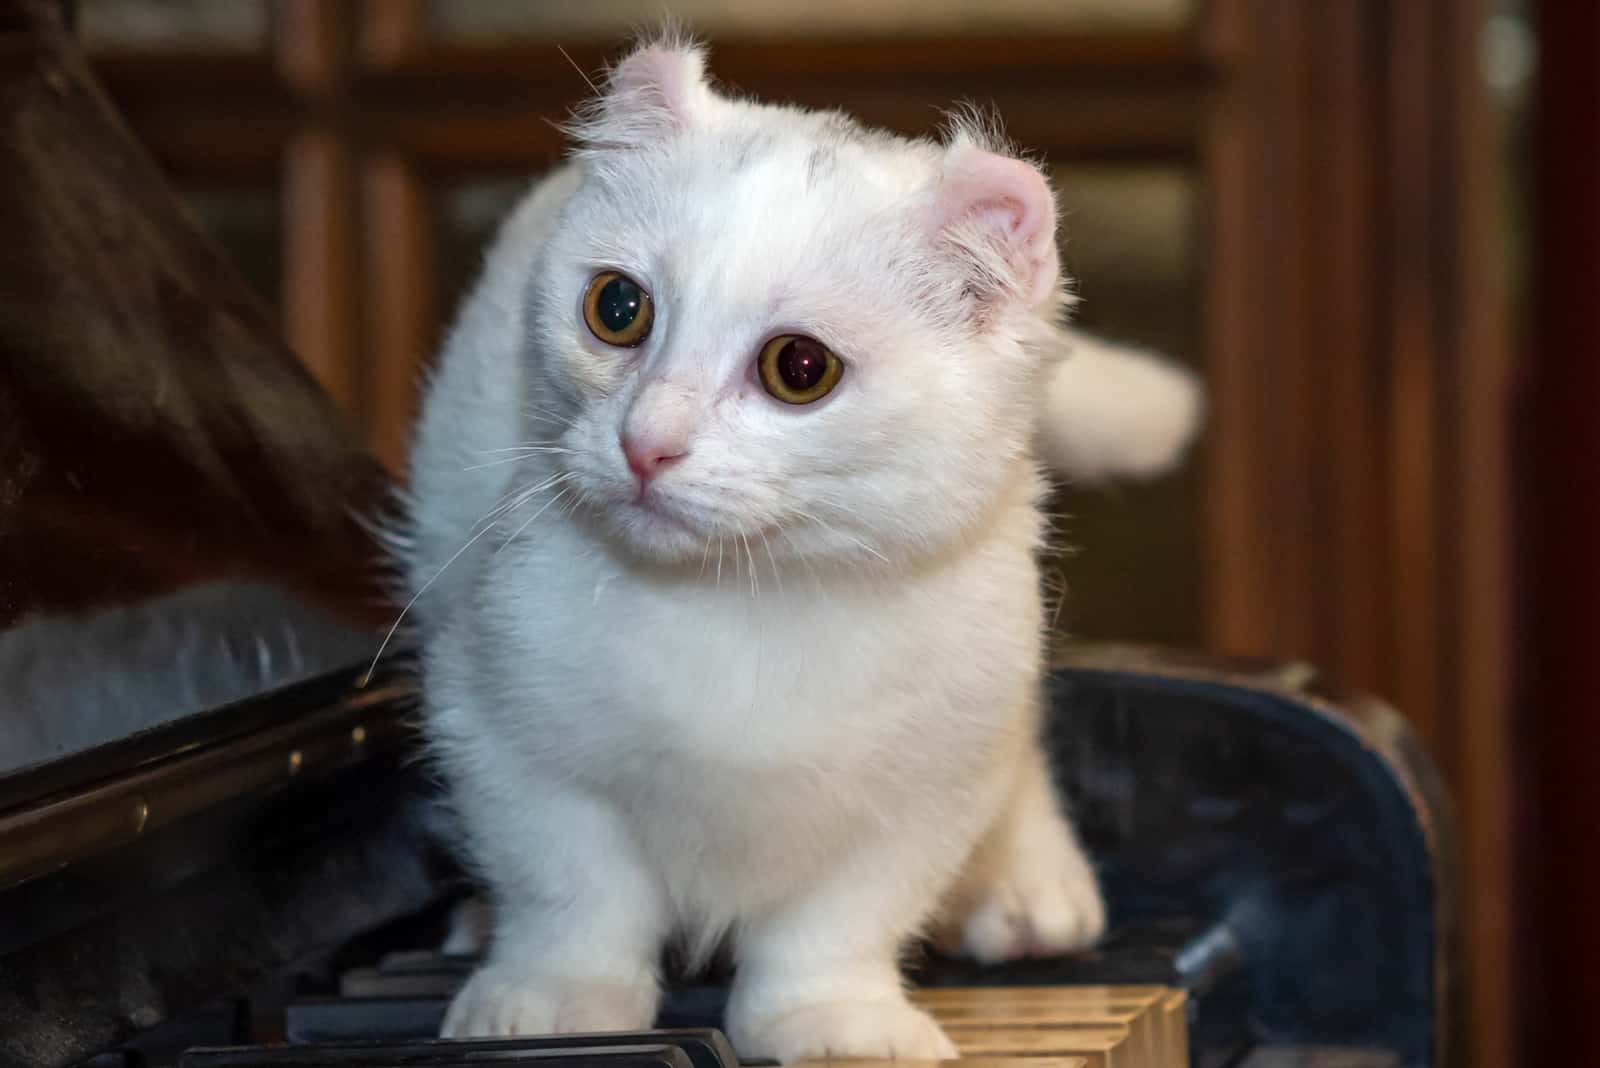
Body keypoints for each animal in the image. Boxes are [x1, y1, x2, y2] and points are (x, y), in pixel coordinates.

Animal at [400, 33, 1203, 1061]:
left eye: (801, 368)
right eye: (616, 308)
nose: (646, 441)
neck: (746, 604)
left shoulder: (924, 791)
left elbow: (836, 923)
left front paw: (829, 1019)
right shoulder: (496, 722)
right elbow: (573, 889)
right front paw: (556, 994)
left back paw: (1024, 877)